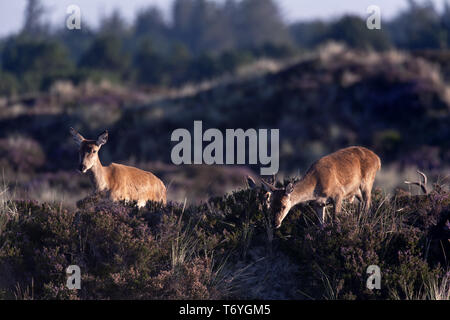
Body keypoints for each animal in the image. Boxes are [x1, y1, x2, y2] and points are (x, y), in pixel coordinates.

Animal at [248, 146, 382, 229]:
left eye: (284, 206)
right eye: (270, 204)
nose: (275, 223)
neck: (315, 189)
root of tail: (378, 159)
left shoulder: (338, 194)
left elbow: (335, 220)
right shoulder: (318, 204)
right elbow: (321, 225)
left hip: (368, 181)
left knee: (368, 204)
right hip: (356, 190)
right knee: (364, 203)